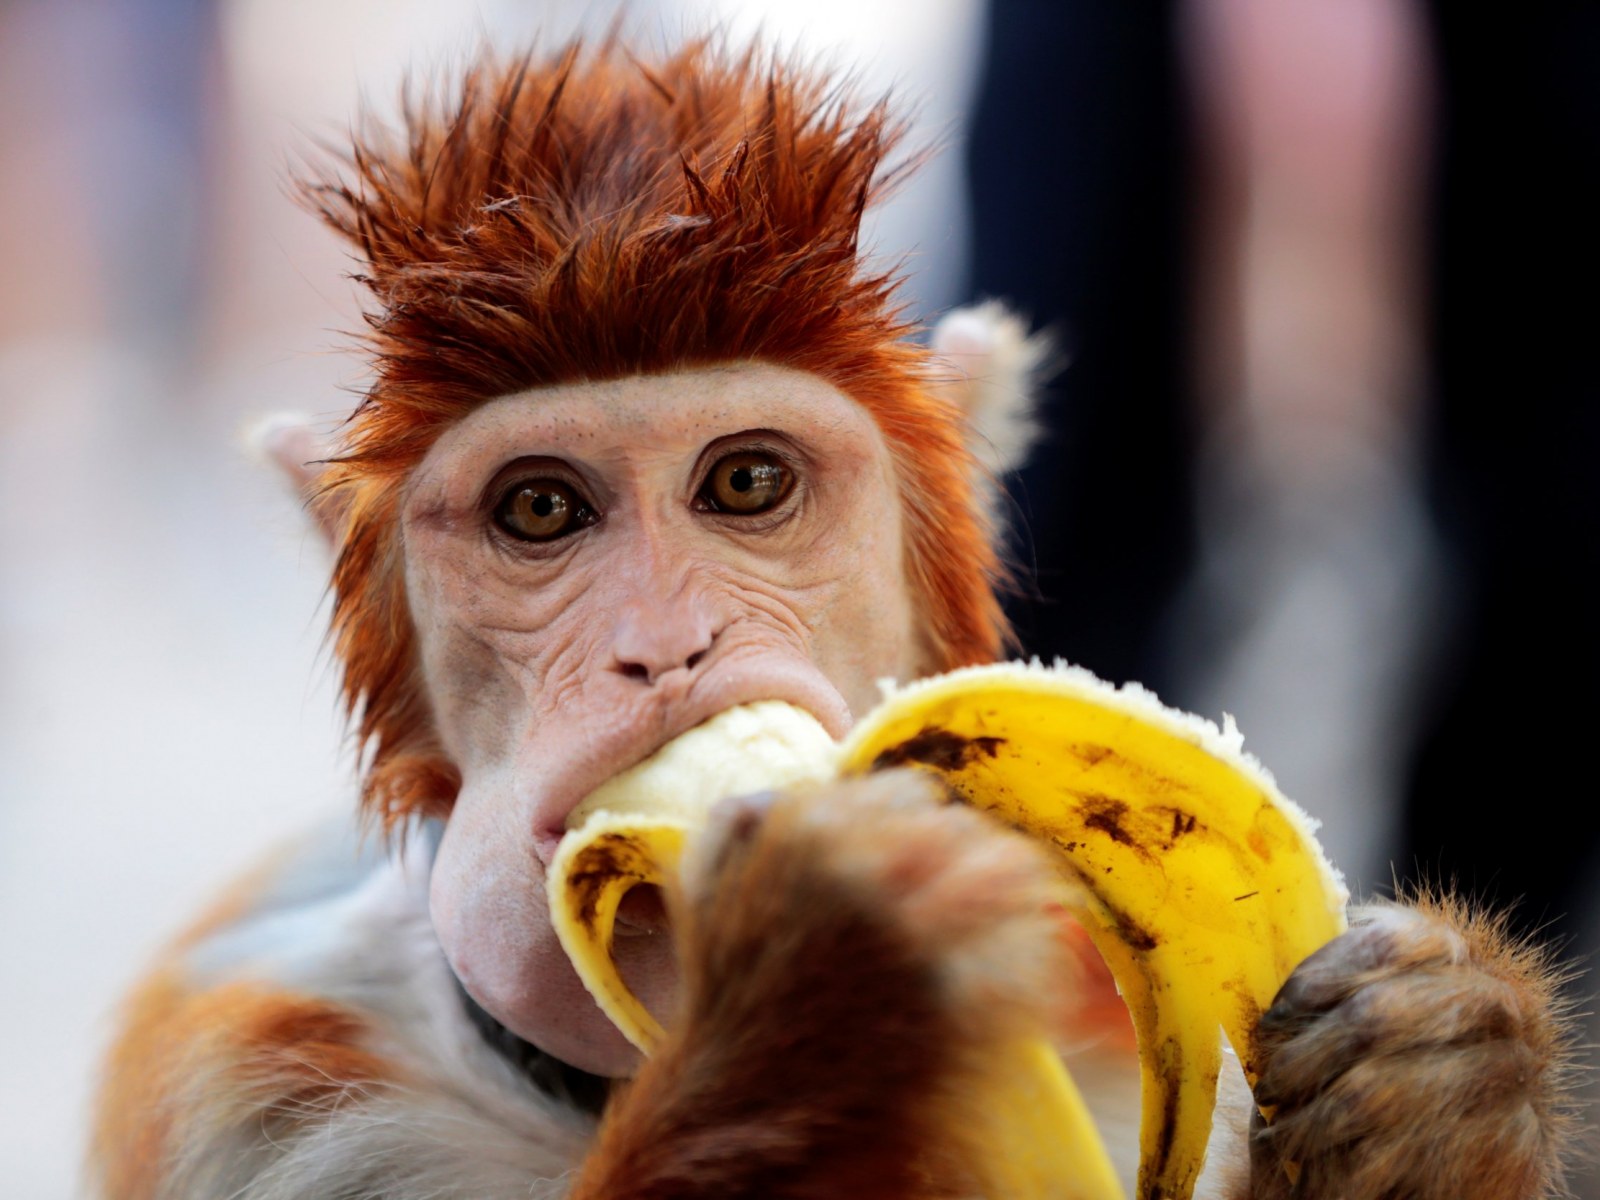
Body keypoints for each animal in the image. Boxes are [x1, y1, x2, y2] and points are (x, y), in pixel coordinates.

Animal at [90, 37, 1575, 1200]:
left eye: (745, 483)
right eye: (541, 510)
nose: (665, 644)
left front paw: (1447, 1071)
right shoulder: (270, 1101)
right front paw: (834, 980)